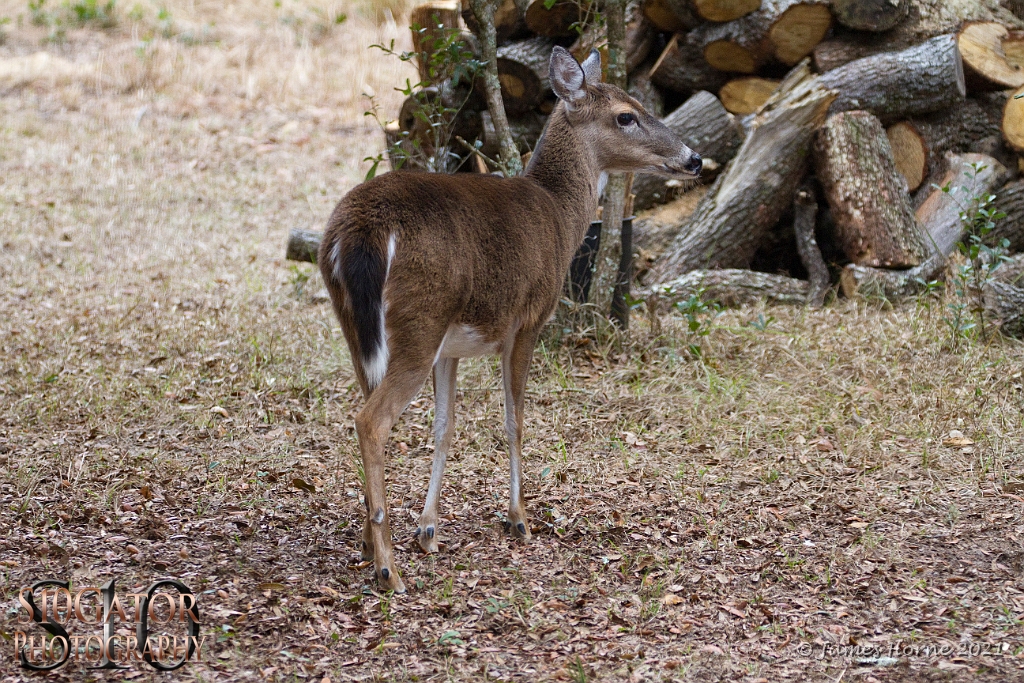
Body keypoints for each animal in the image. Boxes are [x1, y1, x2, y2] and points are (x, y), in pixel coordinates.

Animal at [321, 48, 704, 593]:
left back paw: (369, 544)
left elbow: (445, 426)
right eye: (626, 116)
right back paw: (388, 570)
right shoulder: (528, 320)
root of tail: (358, 233)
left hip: (360, 327)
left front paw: (428, 529)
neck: (560, 216)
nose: (694, 159)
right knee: (370, 420)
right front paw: (519, 517)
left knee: (364, 410)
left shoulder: (452, 348)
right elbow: (514, 419)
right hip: (419, 321)